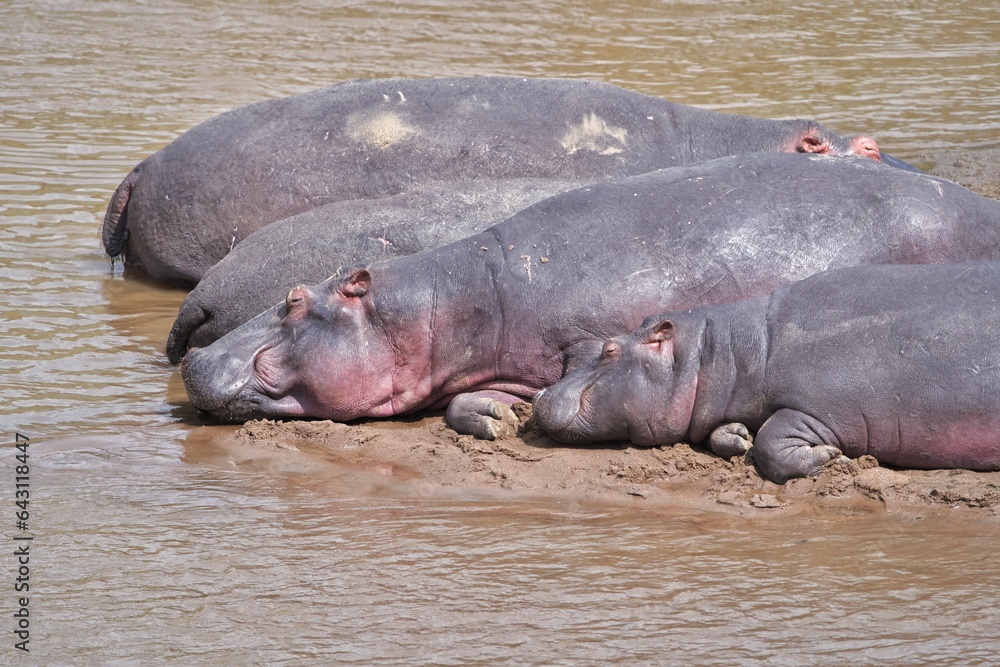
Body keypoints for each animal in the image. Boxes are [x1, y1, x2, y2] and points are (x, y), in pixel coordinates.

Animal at [533, 261, 1000, 482]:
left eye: (610, 348)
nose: (538, 397)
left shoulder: (822, 408)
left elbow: (772, 443)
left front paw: (829, 457)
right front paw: (736, 436)